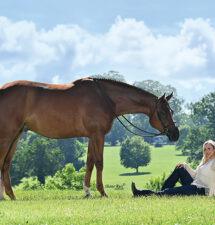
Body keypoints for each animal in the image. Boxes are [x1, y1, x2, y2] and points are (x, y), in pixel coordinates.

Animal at [0, 76, 179, 200]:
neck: (106, 99)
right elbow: (99, 163)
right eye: (163, 112)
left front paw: (87, 191)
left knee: (6, 164)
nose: (175, 133)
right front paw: (102, 192)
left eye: (172, 111)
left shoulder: (91, 137)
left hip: (16, 136)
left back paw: (10, 195)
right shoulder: (98, 135)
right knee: (2, 162)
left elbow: (89, 163)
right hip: (8, 136)